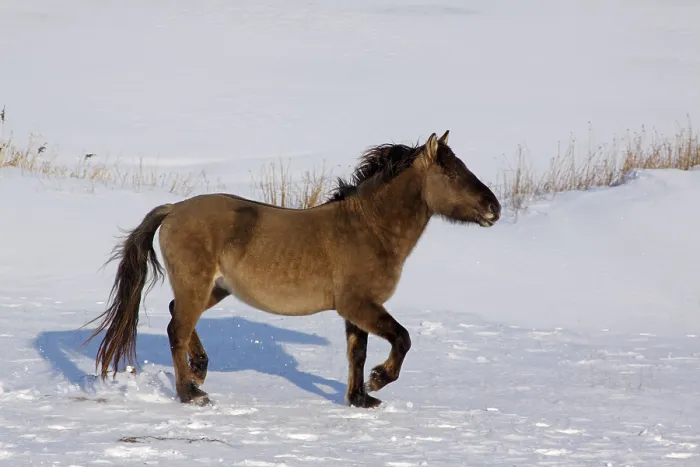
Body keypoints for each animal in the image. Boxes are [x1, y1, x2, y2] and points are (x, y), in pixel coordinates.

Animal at [84, 130, 501, 408]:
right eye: (453, 174)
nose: (494, 208)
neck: (368, 228)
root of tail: (173, 209)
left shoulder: (356, 312)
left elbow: (357, 353)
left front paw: (360, 398)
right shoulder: (361, 305)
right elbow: (402, 338)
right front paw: (379, 381)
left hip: (214, 288)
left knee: (178, 319)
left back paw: (200, 371)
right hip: (197, 285)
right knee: (177, 329)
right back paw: (191, 393)